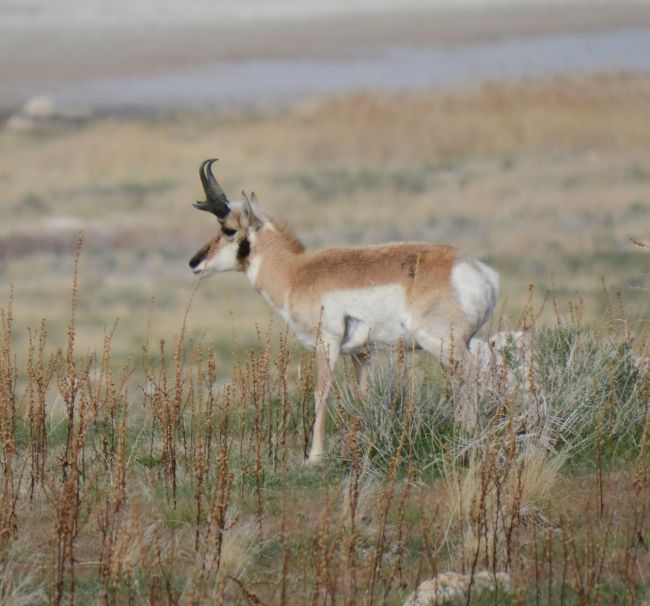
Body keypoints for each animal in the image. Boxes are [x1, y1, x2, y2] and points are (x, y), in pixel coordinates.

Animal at [189, 159, 499, 463]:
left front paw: (315, 456)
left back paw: (465, 434)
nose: (194, 263)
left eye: (228, 230)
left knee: (473, 374)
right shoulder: (361, 354)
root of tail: (480, 272)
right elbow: (364, 396)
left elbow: (320, 393)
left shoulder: (327, 343)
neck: (296, 273)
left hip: (441, 343)